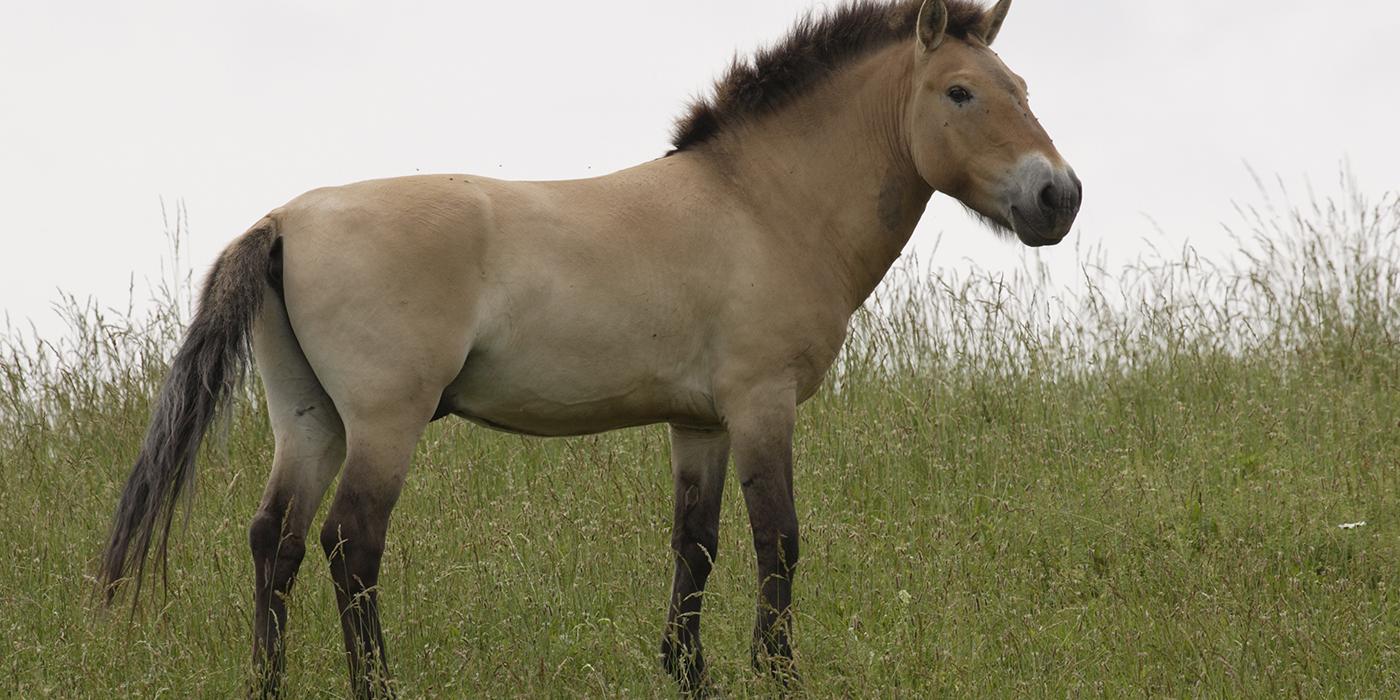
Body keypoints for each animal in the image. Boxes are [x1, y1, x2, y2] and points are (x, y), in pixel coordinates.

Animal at [98, 0, 1080, 694]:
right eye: (960, 92)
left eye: (1024, 89)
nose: (1058, 196)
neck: (759, 204)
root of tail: (283, 222)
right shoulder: (761, 405)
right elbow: (779, 540)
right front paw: (777, 674)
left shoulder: (700, 423)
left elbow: (696, 546)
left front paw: (689, 671)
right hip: (383, 422)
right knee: (351, 543)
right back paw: (376, 685)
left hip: (311, 422)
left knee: (277, 541)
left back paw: (267, 683)